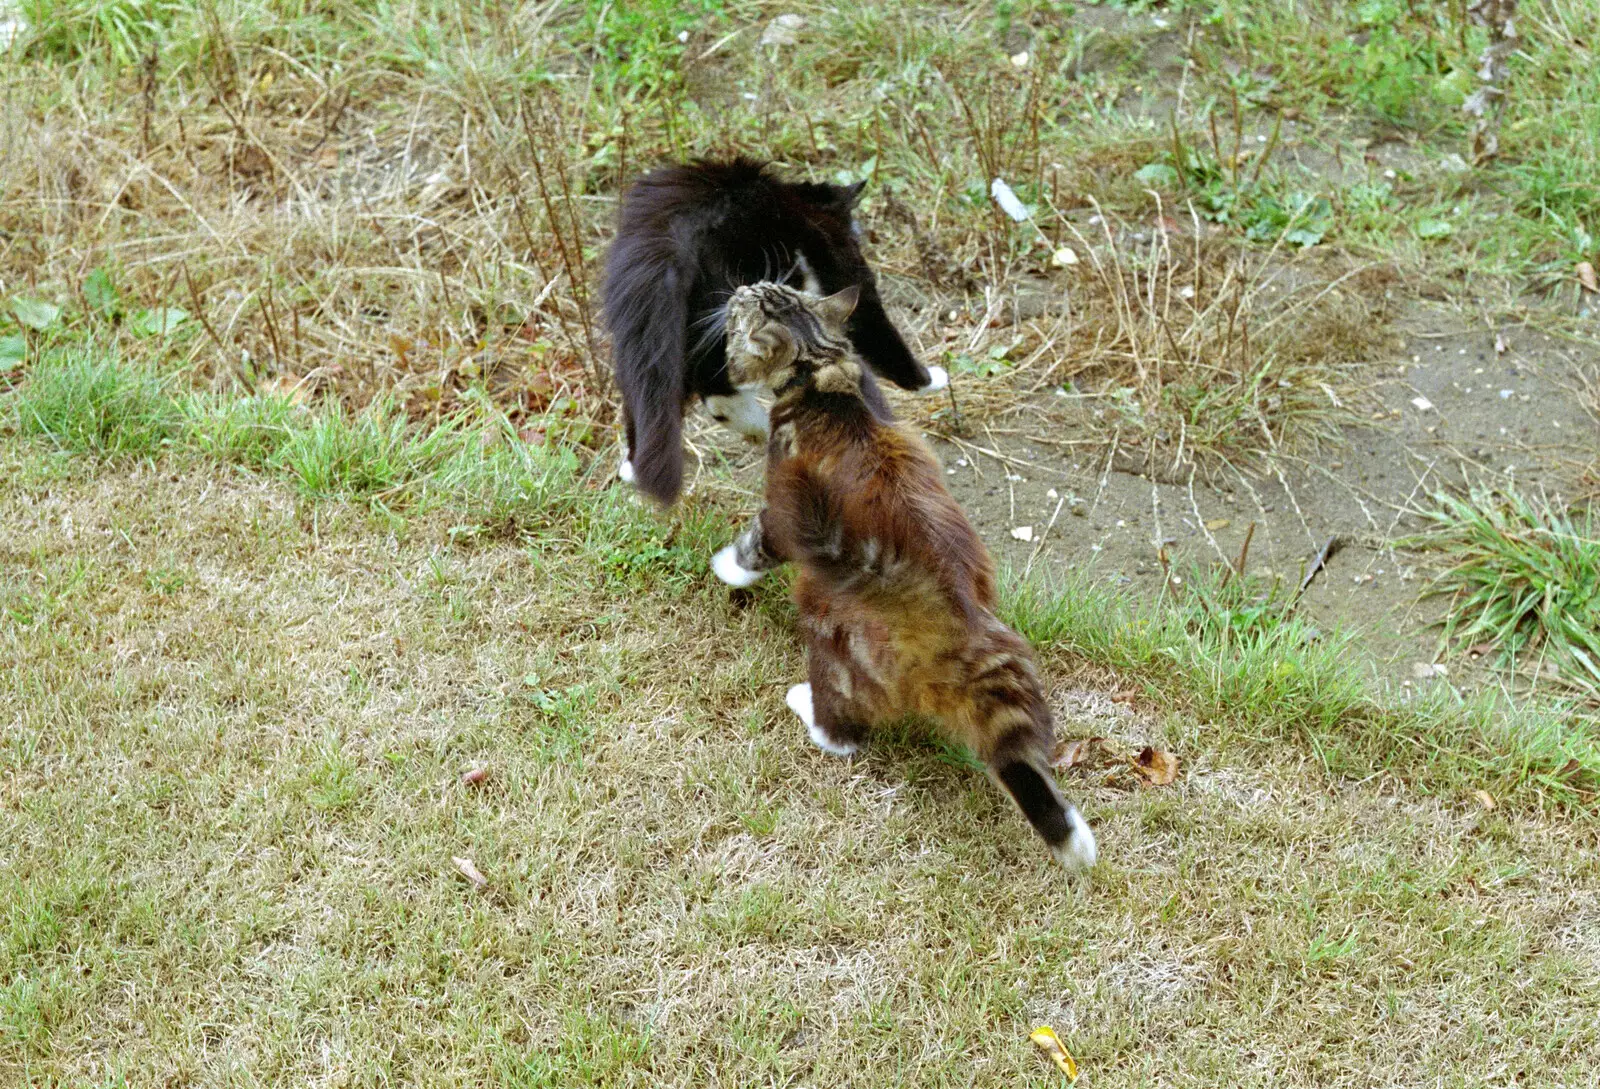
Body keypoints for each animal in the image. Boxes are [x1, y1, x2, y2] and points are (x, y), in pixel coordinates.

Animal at [601, 157, 947, 505]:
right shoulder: (845, 274)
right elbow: (880, 334)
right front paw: (931, 379)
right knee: (715, 383)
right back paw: (760, 426)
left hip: (648, 332)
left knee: (652, 392)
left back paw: (635, 466)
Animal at [713, 283, 1100, 876]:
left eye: (741, 311)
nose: (734, 289)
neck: (822, 370)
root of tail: (958, 626)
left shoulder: (782, 511)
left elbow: (758, 542)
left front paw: (727, 567)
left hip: (831, 629)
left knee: (843, 730)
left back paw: (805, 704)